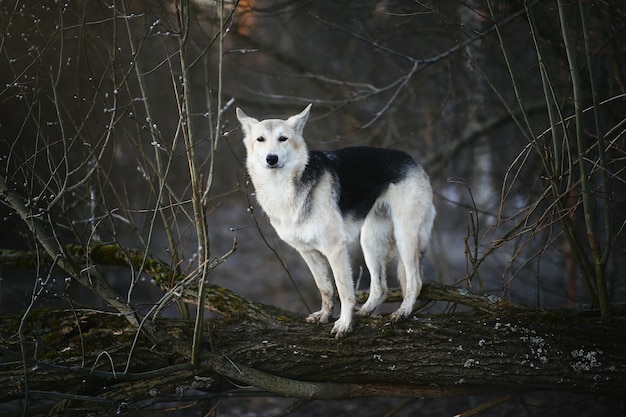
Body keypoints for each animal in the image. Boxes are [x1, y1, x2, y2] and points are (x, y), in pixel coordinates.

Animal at [235, 105, 434, 338]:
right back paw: (365, 312)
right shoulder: (308, 251)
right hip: (370, 243)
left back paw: (402, 312)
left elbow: (344, 290)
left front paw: (344, 324)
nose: (271, 159)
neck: (282, 189)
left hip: (405, 237)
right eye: (260, 139)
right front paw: (325, 315)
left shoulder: (335, 249)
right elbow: (325, 287)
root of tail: (413, 160)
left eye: (283, 138)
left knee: (415, 282)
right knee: (381, 287)